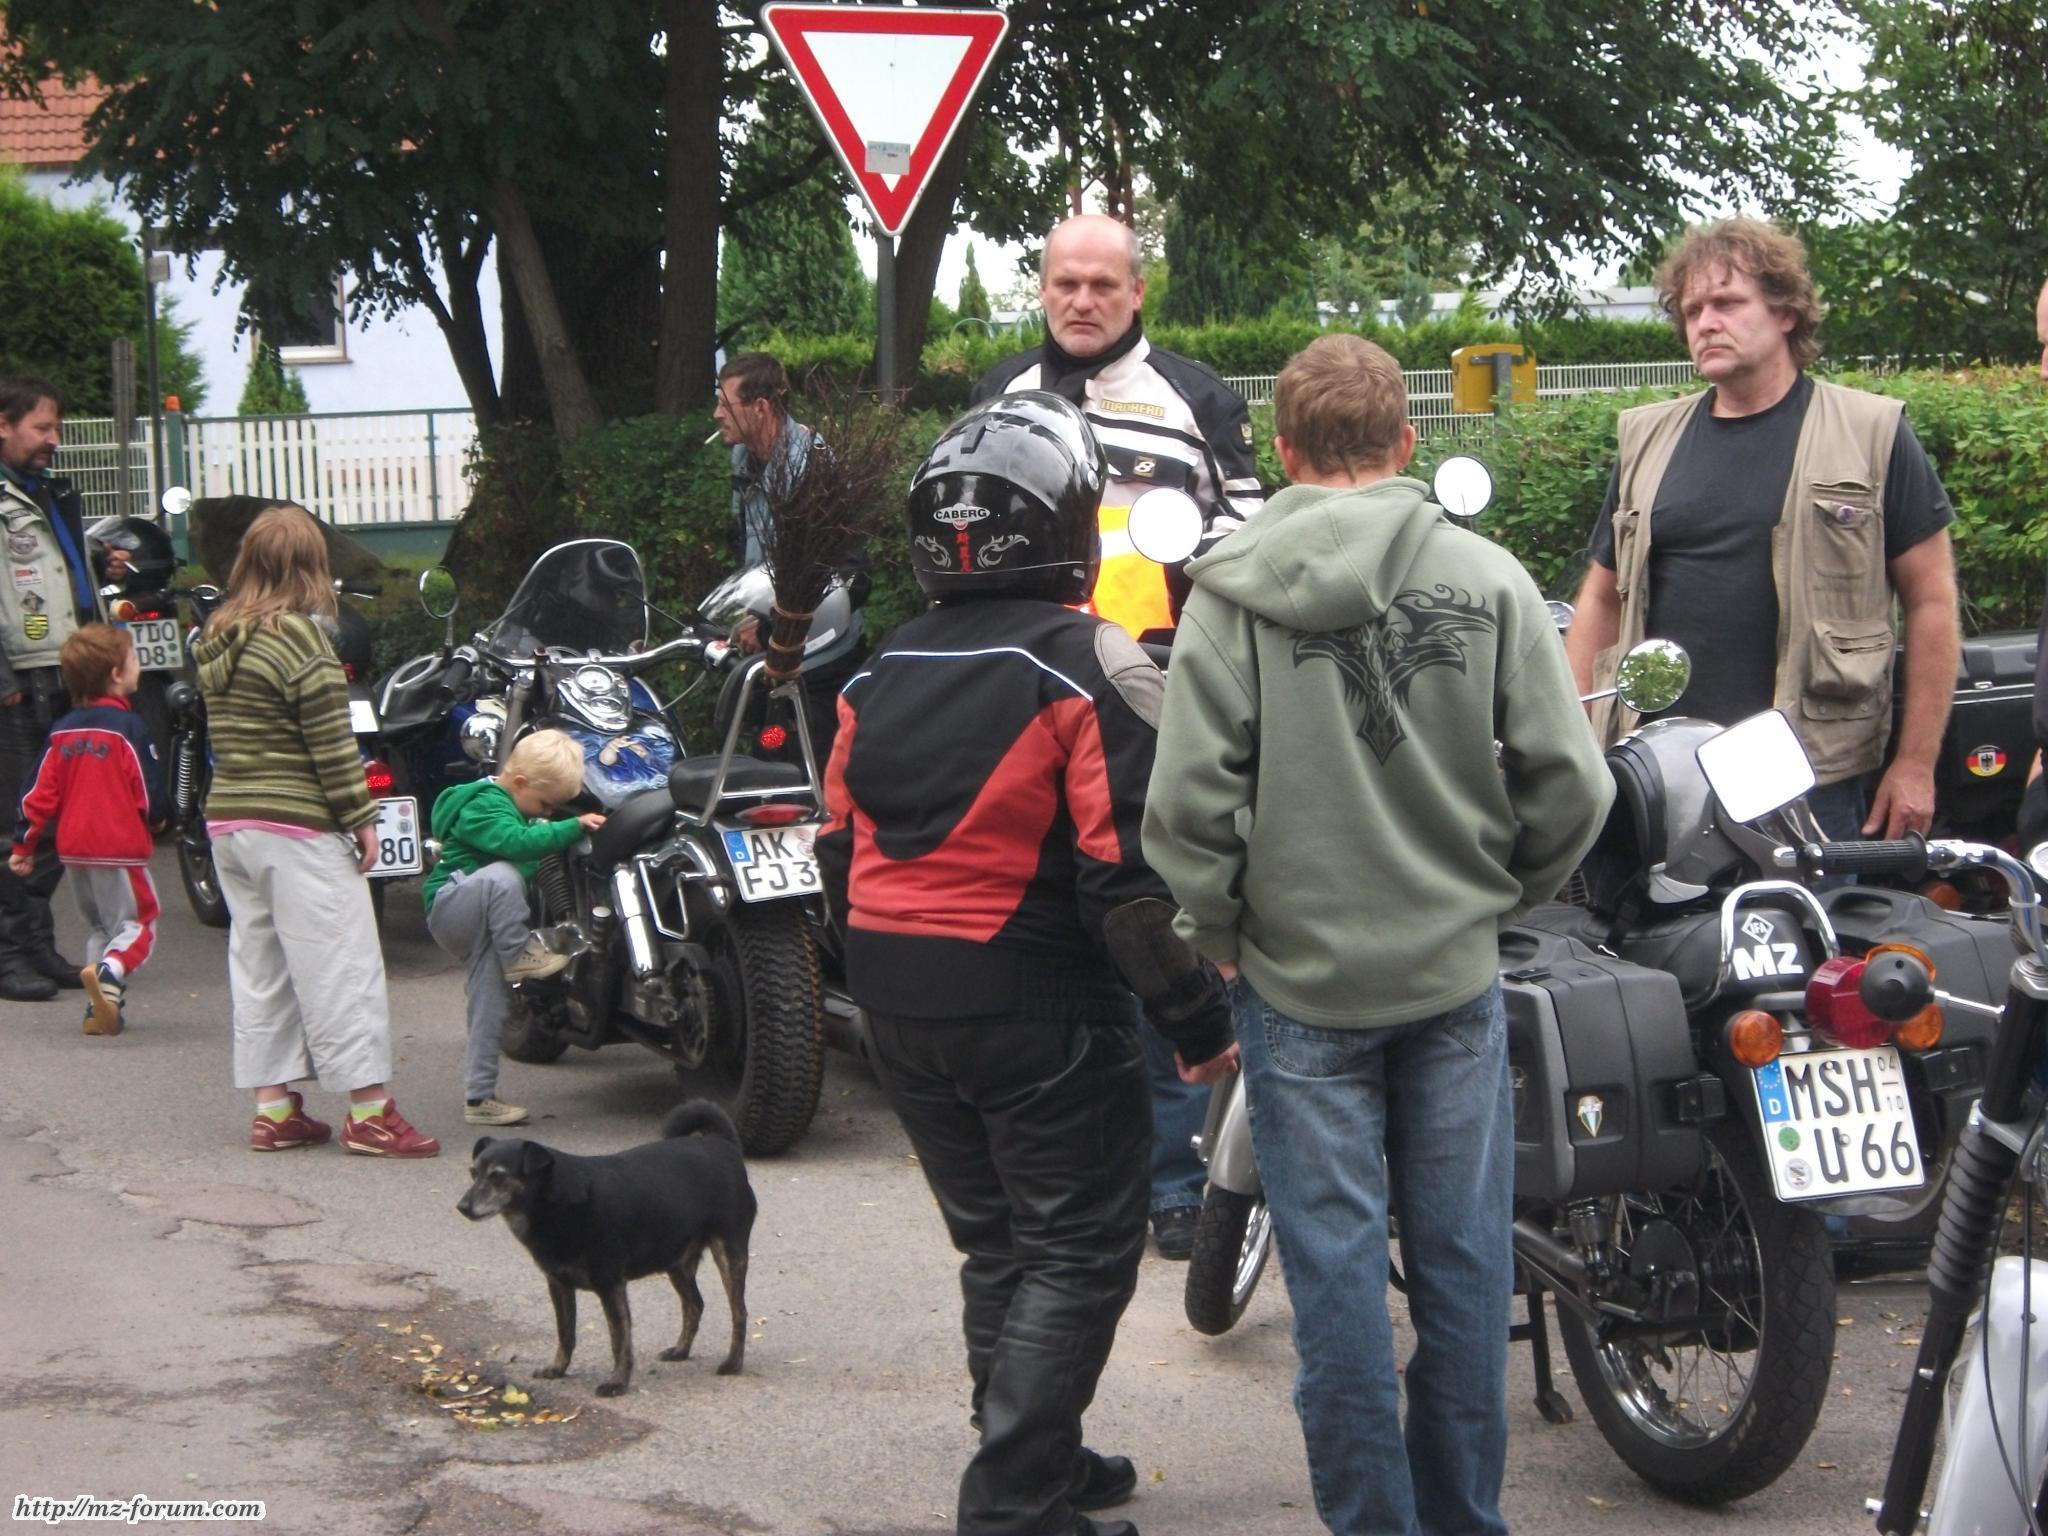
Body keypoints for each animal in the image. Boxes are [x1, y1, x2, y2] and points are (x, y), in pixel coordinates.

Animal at [456, 1100, 757, 1397]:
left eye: (497, 1176)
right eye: (473, 1173)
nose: (462, 1207)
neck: (557, 1201)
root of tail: (722, 1145)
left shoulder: (610, 1286)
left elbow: (619, 1339)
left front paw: (617, 1383)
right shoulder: (558, 1284)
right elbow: (565, 1332)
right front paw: (558, 1368)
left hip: (729, 1254)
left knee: (739, 1311)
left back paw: (733, 1363)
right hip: (677, 1262)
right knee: (695, 1304)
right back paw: (681, 1350)